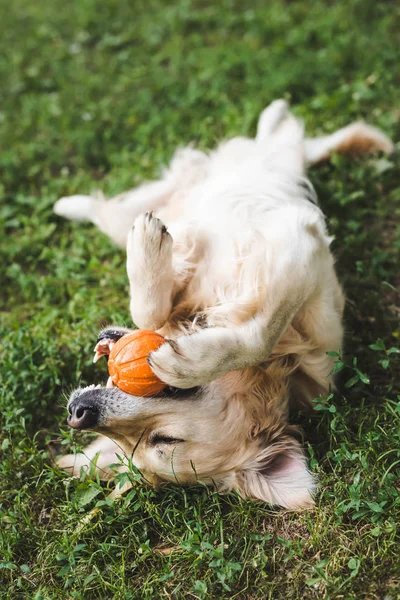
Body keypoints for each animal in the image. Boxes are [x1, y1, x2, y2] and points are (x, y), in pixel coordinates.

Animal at [54, 99, 394, 506]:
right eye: (124, 447)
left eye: (164, 440)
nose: (78, 413)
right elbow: (151, 311)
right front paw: (149, 249)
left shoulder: (304, 250)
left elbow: (260, 332)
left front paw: (185, 362)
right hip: (153, 204)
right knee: (110, 211)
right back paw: (69, 204)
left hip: (275, 164)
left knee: (292, 142)